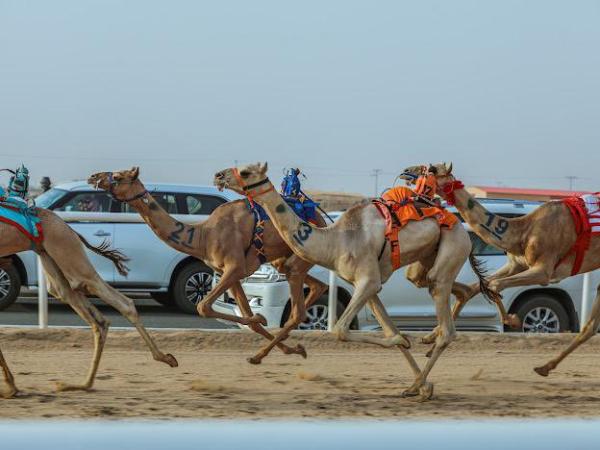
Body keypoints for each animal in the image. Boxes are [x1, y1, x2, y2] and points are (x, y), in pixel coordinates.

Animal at [88, 167, 328, 364]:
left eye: (118, 176)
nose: (93, 177)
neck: (203, 236)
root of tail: (321, 219)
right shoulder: (228, 271)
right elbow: (249, 319)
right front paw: (263, 324)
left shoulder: (235, 266)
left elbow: (203, 306)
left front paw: (263, 321)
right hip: (283, 260)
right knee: (317, 287)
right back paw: (285, 347)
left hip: (299, 258)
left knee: (298, 311)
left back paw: (269, 352)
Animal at [213, 163, 494, 400]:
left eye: (246, 171)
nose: (219, 175)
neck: (336, 242)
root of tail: (464, 230)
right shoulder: (370, 286)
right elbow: (389, 328)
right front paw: (419, 376)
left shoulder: (368, 281)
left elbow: (340, 330)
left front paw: (406, 350)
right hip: (424, 262)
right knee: (443, 287)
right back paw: (421, 367)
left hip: (452, 248)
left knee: (446, 321)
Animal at [420, 163, 600, 376]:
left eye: (432, 170)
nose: (408, 174)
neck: (523, 231)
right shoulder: (516, 264)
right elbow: (479, 286)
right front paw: (430, 339)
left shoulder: (544, 271)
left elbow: (494, 285)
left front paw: (512, 320)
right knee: (590, 327)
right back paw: (544, 367)